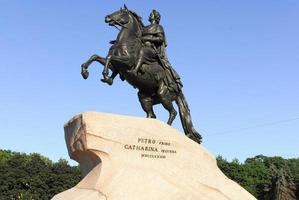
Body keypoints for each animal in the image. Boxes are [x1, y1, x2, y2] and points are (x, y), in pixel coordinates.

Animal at [81, 6, 203, 144]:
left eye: (121, 13)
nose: (107, 17)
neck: (126, 41)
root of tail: (178, 90)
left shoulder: (127, 63)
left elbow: (109, 57)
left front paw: (106, 75)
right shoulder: (115, 65)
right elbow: (96, 57)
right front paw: (85, 72)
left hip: (163, 95)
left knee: (173, 112)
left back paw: (167, 128)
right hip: (144, 98)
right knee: (152, 115)